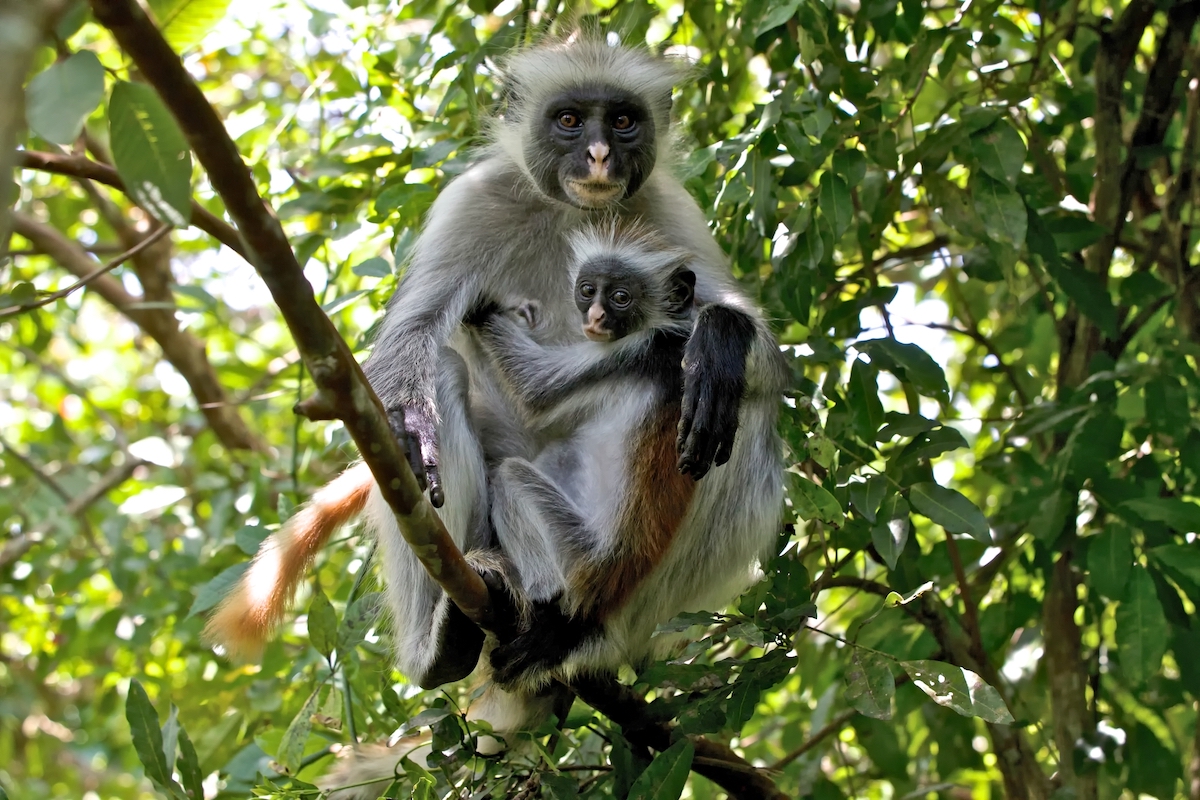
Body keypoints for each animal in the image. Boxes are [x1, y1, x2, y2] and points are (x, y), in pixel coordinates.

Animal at [465, 225, 700, 690]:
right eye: (588, 290)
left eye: (621, 297)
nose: (594, 318)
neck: (670, 337)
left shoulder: (635, 350)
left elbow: (533, 392)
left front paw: (481, 308)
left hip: (579, 556)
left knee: (511, 477)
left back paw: (544, 610)